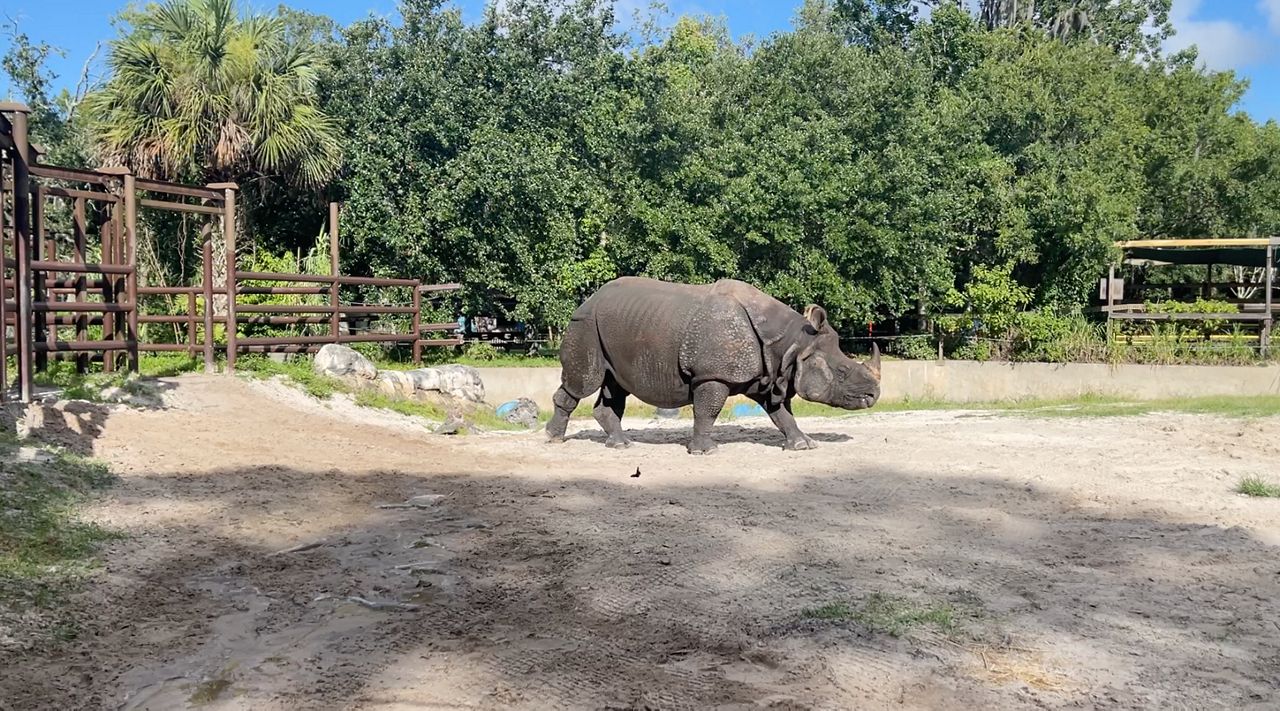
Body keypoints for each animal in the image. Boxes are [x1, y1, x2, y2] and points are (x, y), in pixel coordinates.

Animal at [546, 276, 881, 454]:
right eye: (842, 372)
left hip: (616, 327)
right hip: (585, 325)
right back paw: (554, 439)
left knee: (615, 385)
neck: (790, 344)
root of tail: (588, 299)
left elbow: (782, 414)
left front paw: (803, 445)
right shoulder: (713, 375)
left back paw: (621, 445)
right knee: (583, 382)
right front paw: (705, 451)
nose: (874, 395)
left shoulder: (771, 376)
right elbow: (707, 411)